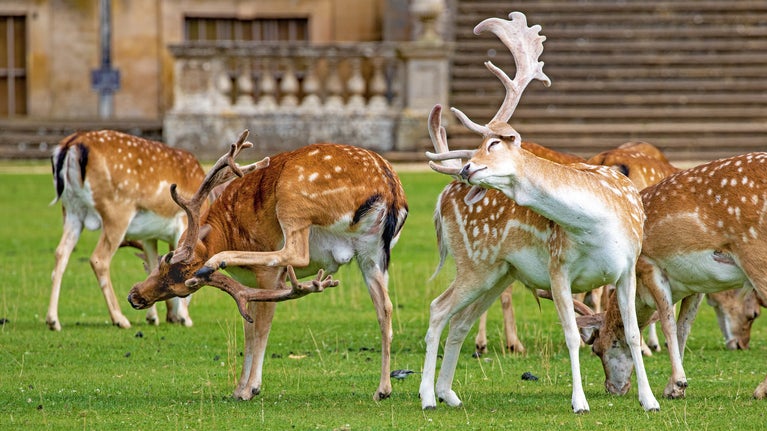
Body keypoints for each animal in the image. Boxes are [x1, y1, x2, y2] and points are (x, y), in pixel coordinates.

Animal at [48, 130, 206, 331]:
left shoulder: (149, 236)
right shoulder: (182, 222)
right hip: (117, 212)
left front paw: (153, 317)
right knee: (99, 259)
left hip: (71, 211)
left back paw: (53, 320)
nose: (171, 318)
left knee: (61, 253)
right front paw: (185, 318)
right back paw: (120, 319)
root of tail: (72, 143)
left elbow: (152, 265)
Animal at [127, 131, 409, 402]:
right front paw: (239, 388)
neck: (228, 228)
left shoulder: (266, 277)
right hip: (372, 254)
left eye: (168, 258)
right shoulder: (249, 286)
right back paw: (382, 389)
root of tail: (390, 190)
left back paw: (216, 261)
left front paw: (250, 389)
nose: (134, 296)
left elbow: (261, 328)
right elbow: (249, 330)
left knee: (295, 252)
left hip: (293, 202)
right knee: (385, 307)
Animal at [420, 12, 659, 413]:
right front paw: (579, 402)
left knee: (460, 321)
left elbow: (632, 331)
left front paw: (649, 399)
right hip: (474, 262)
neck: (598, 226)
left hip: (499, 272)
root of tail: (442, 196)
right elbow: (571, 335)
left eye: (493, 143)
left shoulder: (627, 267)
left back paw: (448, 393)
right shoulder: (558, 266)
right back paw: (426, 396)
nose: (467, 168)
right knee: (439, 308)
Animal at [576, 151, 767, 400]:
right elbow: (683, 326)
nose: (612, 388)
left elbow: (668, 323)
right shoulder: (697, 285)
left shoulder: (650, 266)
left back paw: (760, 390)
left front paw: (676, 384)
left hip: (755, 254)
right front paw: (676, 386)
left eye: (598, 349)